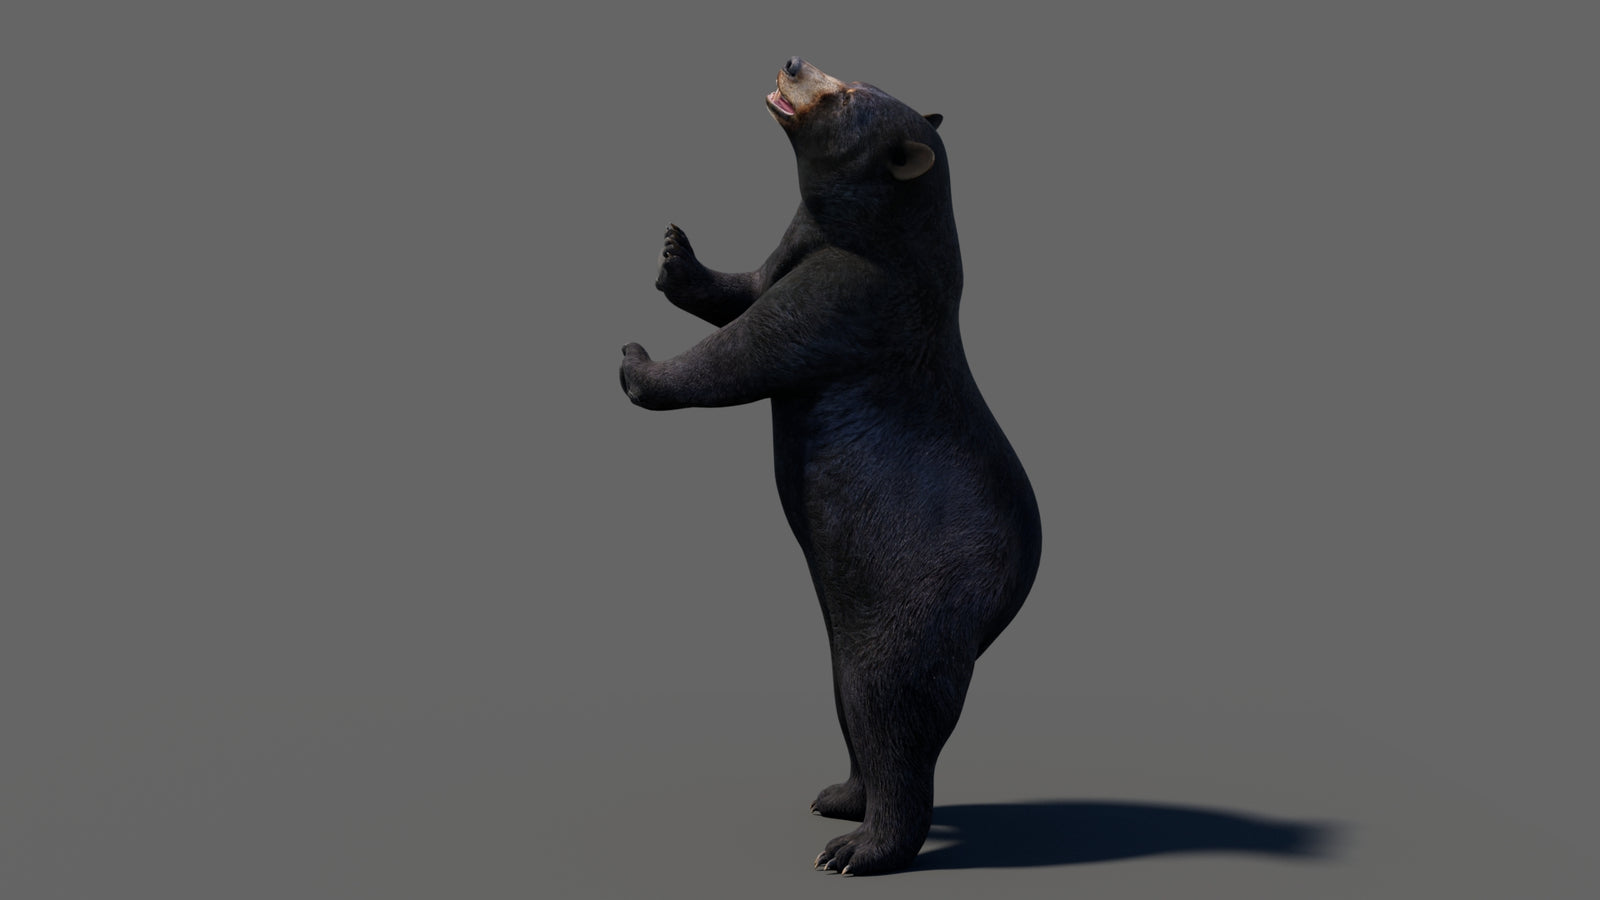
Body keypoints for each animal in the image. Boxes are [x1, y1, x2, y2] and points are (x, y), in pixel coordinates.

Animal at [620, 57, 1041, 876]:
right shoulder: (804, 248)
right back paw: (840, 797)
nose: (792, 60)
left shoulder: (856, 293)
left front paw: (636, 363)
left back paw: (859, 848)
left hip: (920, 597)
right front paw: (675, 253)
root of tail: (1010, 598)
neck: (879, 232)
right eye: (848, 72)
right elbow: (749, 287)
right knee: (852, 700)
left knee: (891, 706)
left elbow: (748, 349)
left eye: (843, 93)